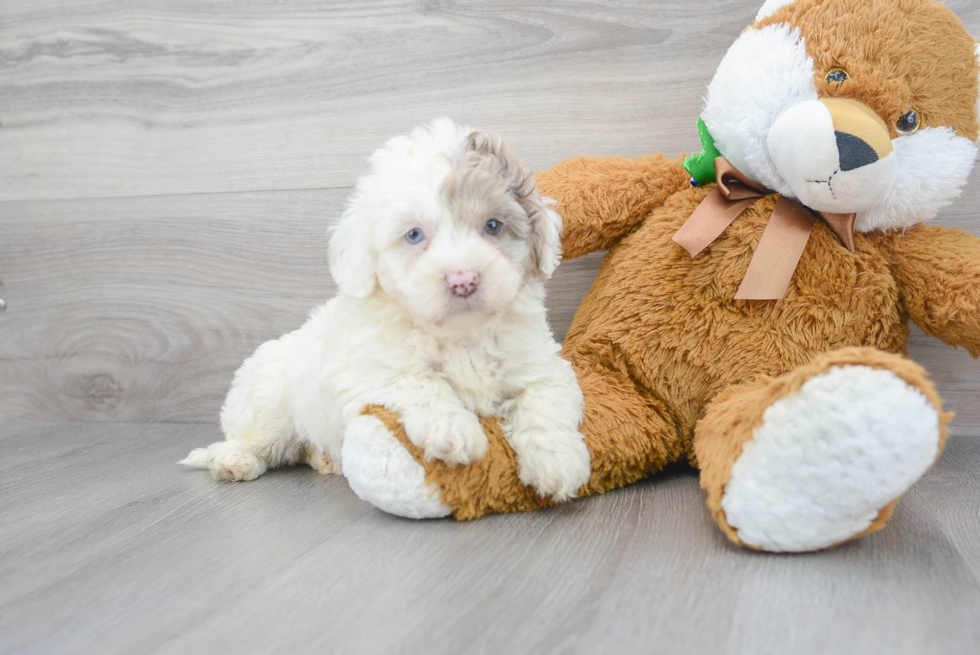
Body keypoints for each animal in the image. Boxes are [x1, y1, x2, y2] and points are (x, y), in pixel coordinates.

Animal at [181, 118, 592, 500]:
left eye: (493, 226)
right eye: (414, 235)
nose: (463, 280)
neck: (458, 334)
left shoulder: (540, 366)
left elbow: (545, 401)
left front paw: (557, 461)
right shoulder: (367, 370)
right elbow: (418, 381)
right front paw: (453, 429)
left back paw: (324, 458)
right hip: (267, 398)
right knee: (253, 438)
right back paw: (233, 460)